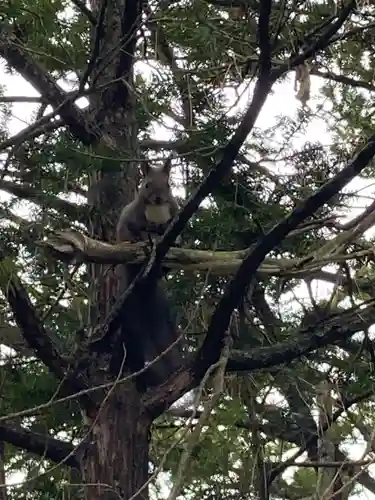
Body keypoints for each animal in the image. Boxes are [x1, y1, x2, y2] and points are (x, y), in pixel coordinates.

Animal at [116, 158, 184, 388]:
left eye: (168, 184)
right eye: (146, 185)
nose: (158, 198)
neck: (156, 209)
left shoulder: (174, 212)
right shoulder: (133, 218)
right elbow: (135, 229)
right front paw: (144, 239)